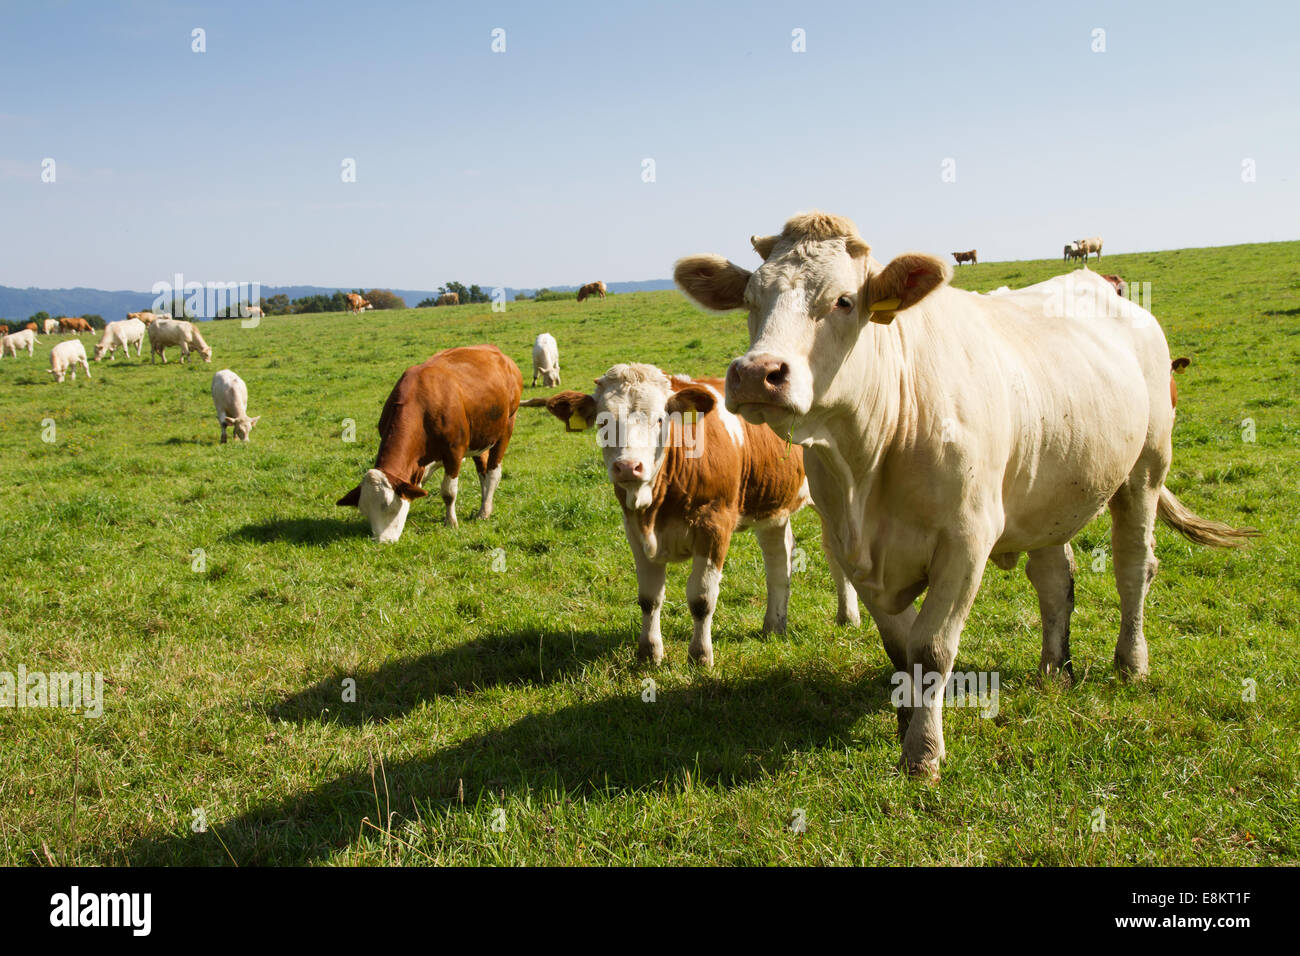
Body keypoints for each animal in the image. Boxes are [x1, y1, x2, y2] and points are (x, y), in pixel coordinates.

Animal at [337, 345, 522, 542]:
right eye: (365, 511)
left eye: (388, 506)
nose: (382, 541)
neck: (420, 407)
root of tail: (496, 352)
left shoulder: (454, 452)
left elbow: (448, 492)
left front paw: (451, 522)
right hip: (480, 435)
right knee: (483, 470)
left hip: (507, 426)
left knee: (494, 472)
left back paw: (484, 511)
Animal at [522, 365, 859, 666]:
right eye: (603, 422)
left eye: (661, 419)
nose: (628, 467)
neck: (656, 507)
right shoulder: (634, 529)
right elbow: (649, 597)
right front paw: (649, 653)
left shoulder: (715, 526)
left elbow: (701, 598)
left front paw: (700, 656)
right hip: (772, 506)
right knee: (779, 558)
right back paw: (774, 625)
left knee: (834, 552)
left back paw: (849, 616)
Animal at [674, 210, 1256, 778]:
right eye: (751, 299)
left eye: (842, 300)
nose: (756, 373)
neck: (869, 457)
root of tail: (1100, 284)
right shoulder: (849, 547)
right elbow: (900, 646)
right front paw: (904, 718)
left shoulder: (966, 541)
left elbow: (931, 648)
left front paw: (923, 751)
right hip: (1049, 492)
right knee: (1054, 580)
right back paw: (1054, 669)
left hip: (1144, 470)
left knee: (1134, 566)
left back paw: (1131, 663)